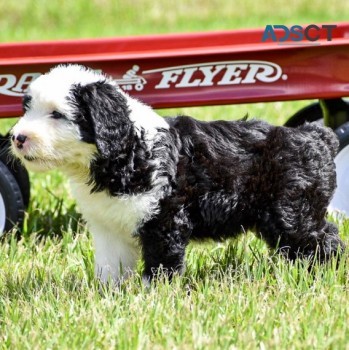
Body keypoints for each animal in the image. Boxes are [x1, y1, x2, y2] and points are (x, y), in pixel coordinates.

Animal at [10, 65, 342, 284]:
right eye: (27, 109)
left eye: (57, 115)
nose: (17, 137)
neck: (128, 150)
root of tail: (318, 135)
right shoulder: (108, 225)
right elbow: (111, 267)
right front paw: (107, 297)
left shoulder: (165, 218)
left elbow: (161, 264)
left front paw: (154, 297)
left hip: (293, 211)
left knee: (325, 241)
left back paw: (325, 277)